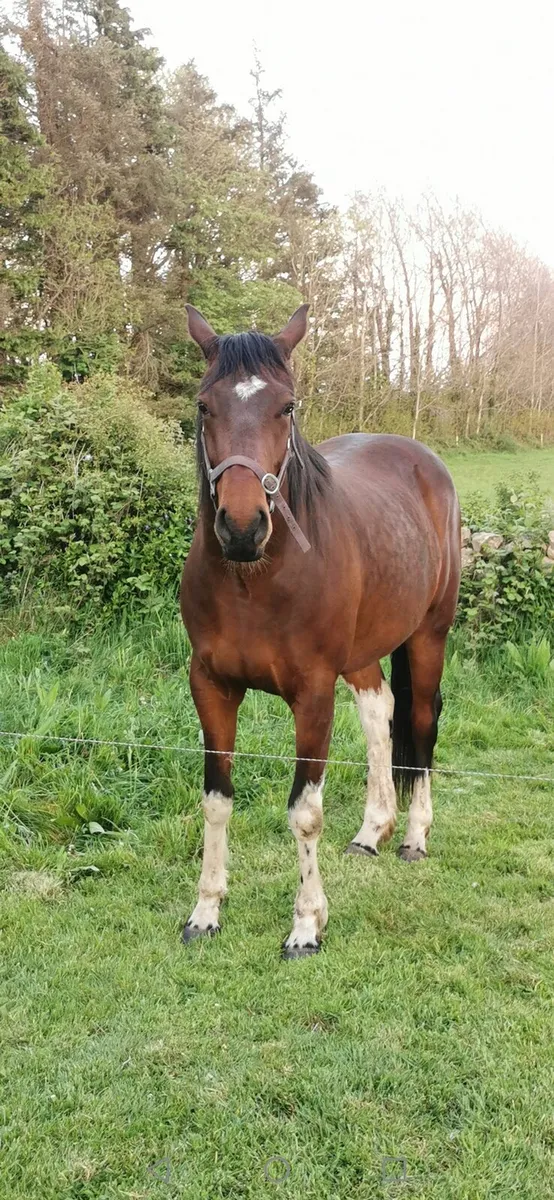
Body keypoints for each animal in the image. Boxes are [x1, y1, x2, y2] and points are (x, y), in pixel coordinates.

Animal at [180, 303, 461, 958]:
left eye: (287, 407)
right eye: (205, 405)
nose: (241, 526)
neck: (255, 581)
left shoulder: (312, 694)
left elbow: (304, 811)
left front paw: (307, 924)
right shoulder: (211, 687)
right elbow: (216, 801)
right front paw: (206, 912)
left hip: (429, 636)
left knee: (421, 723)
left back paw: (414, 836)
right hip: (361, 656)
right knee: (380, 713)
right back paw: (371, 831)